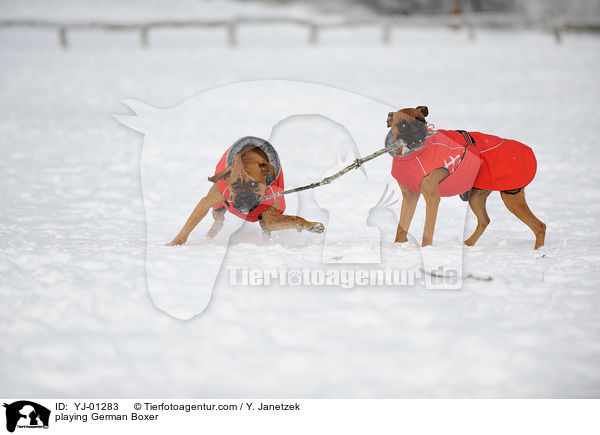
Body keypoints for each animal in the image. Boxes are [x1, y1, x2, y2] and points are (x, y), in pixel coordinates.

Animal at [166, 136, 326, 245]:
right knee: (218, 219)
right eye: (235, 184)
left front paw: (311, 225)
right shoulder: (206, 202)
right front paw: (175, 243)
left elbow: (295, 219)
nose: (243, 197)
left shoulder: (271, 217)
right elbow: (189, 225)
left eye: (254, 183)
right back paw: (211, 233)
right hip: (217, 207)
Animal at [386, 106, 548, 249]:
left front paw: (426, 249)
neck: (412, 155)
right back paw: (468, 244)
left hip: (511, 198)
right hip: (476, 197)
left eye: (421, 121)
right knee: (484, 220)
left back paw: (538, 251)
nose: (418, 132)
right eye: (403, 124)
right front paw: (398, 246)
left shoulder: (432, 198)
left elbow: (428, 229)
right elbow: (401, 227)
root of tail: (527, 150)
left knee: (539, 226)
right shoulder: (410, 196)